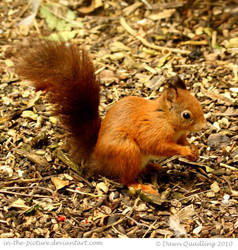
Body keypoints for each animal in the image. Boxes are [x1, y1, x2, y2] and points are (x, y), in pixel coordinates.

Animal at [14, 40, 205, 193]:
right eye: (186, 115)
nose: (203, 125)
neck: (167, 119)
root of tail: (97, 159)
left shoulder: (180, 135)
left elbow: (183, 142)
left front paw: (193, 149)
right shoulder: (153, 131)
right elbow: (159, 146)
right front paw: (185, 151)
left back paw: (152, 167)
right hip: (128, 151)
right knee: (126, 180)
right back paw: (141, 185)